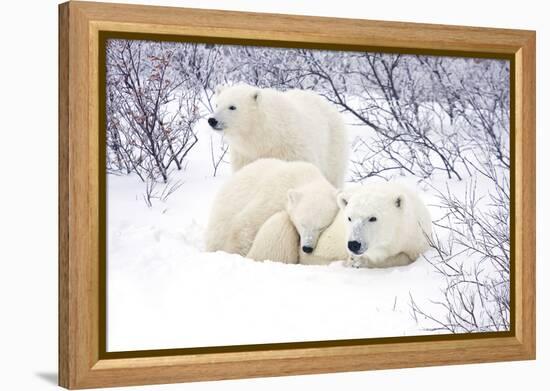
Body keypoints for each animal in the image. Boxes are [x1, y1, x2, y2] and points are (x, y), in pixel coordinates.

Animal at [207, 84, 350, 187]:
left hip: (333, 145)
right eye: (217, 104)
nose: (212, 120)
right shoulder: (245, 155)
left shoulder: (292, 150)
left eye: (232, 107)